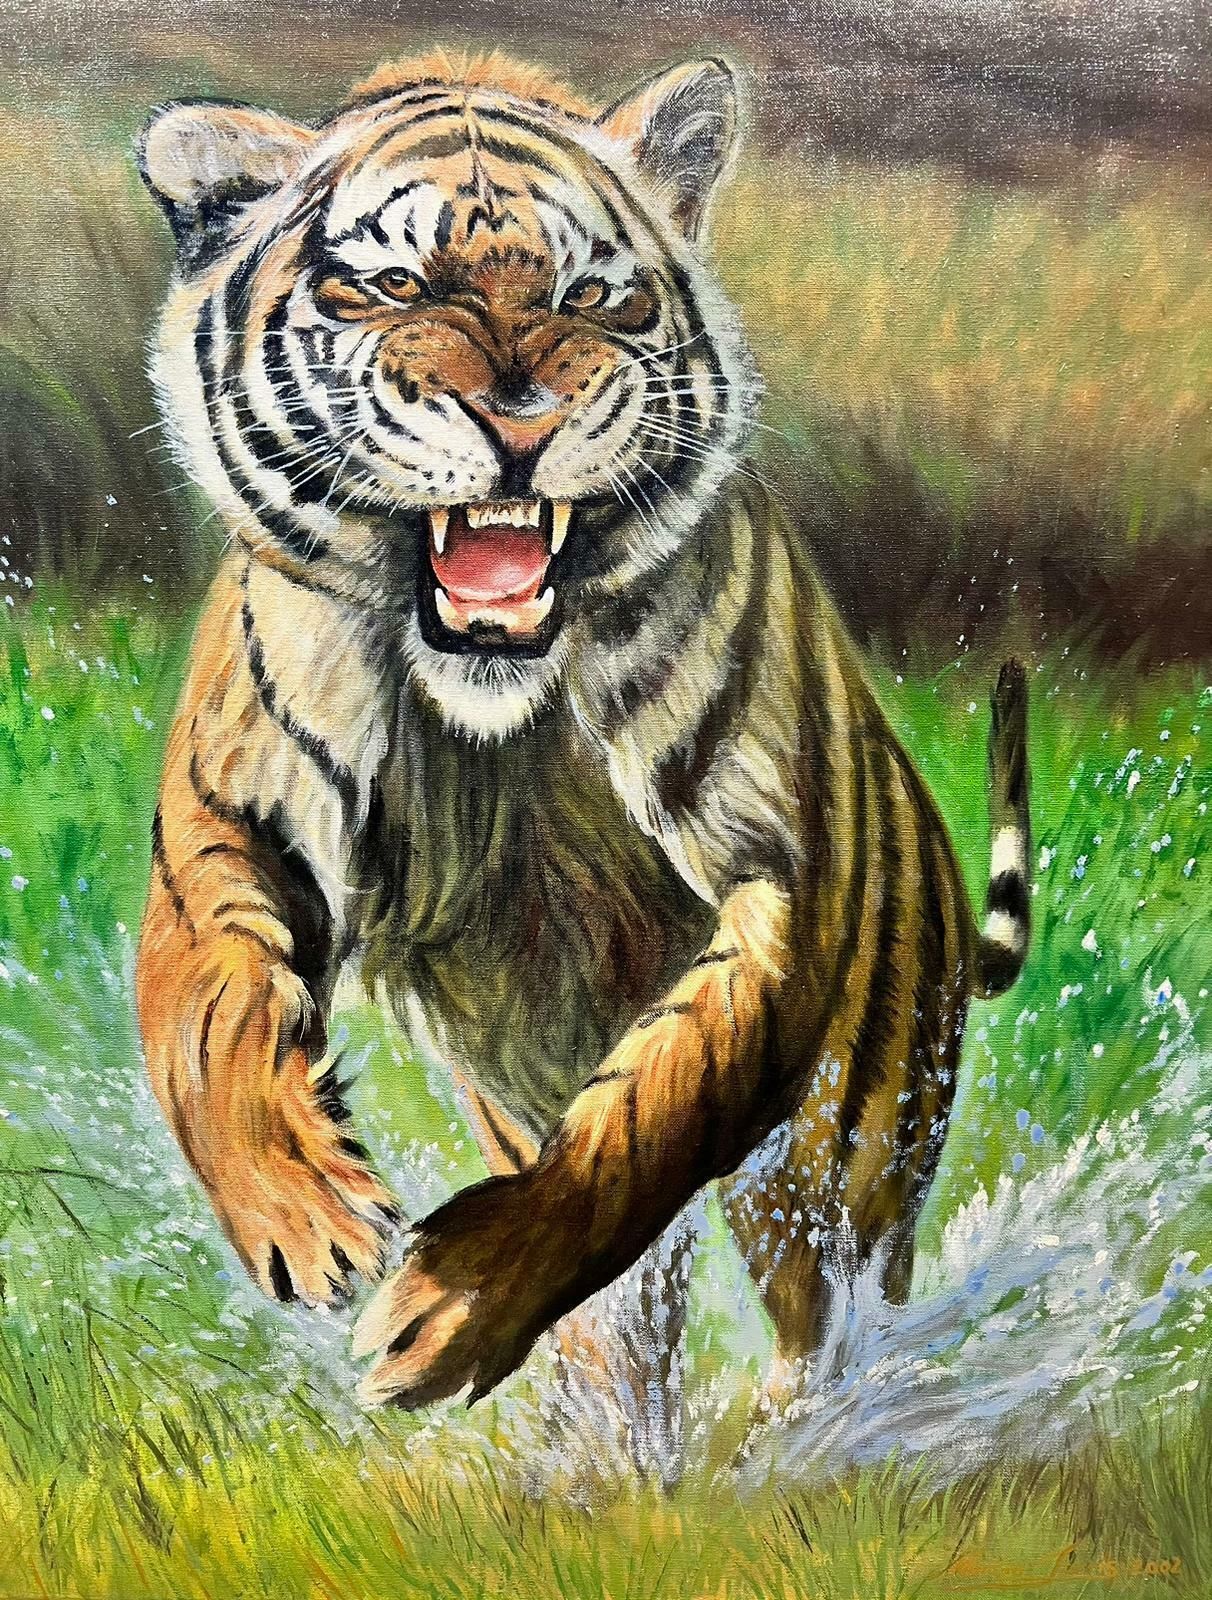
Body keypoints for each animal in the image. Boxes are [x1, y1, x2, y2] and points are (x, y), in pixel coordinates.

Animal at [134, 49, 1031, 1410]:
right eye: (393, 285)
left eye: (594, 295)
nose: (519, 418)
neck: (491, 712)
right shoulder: (228, 831)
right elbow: (211, 1028)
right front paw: (314, 1218)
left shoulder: (772, 886)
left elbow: (649, 1122)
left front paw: (452, 1300)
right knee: (625, 1345)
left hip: (852, 1146)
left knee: (827, 1306)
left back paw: (797, 1432)